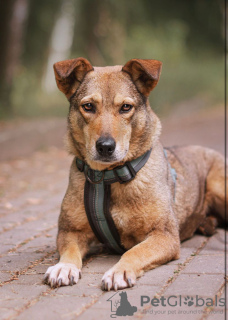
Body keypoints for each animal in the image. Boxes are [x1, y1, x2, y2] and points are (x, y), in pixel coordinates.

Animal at [43, 57, 225, 290]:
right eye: (88, 106)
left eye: (126, 107)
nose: (105, 147)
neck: (109, 178)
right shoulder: (70, 231)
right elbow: (69, 252)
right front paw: (64, 267)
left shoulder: (164, 235)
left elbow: (135, 251)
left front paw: (119, 271)